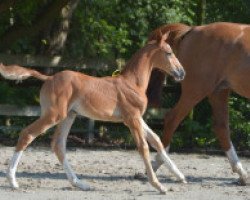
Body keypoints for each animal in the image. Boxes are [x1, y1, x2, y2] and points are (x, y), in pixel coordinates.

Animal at [1, 33, 186, 194]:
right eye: (169, 53)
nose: (181, 72)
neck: (132, 83)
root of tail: (49, 78)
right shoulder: (132, 119)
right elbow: (144, 147)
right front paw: (159, 185)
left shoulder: (137, 118)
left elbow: (156, 140)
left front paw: (180, 176)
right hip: (54, 115)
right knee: (27, 134)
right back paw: (13, 180)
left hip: (69, 116)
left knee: (58, 145)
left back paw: (81, 184)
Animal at [147, 21, 249, 184]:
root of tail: (193, 30)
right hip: (196, 90)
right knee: (172, 118)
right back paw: (159, 162)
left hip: (219, 91)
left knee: (221, 127)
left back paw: (242, 173)